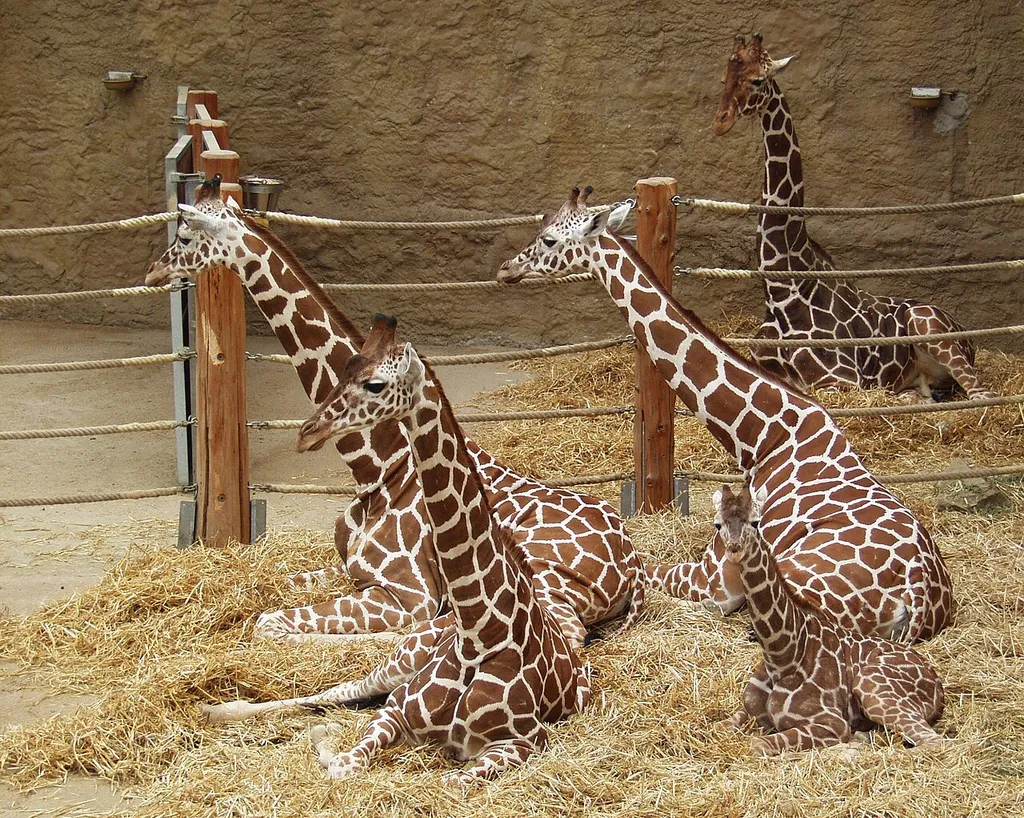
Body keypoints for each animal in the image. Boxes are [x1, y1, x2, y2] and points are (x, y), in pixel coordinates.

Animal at [145, 176, 645, 652]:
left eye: (185, 235)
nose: (153, 270)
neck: (378, 465)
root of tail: (633, 561)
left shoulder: (408, 593)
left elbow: (269, 623)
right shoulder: (344, 569)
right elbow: (268, 587)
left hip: (544, 576)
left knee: (560, 634)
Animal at [296, 315, 589, 782]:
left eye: (375, 384)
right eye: (344, 369)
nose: (307, 433)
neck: (478, 632)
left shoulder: (521, 742)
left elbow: (452, 783)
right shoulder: (396, 710)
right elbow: (345, 764)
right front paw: (328, 746)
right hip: (398, 662)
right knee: (335, 692)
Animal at [497, 187, 954, 643]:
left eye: (550, 240)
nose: (506, 269)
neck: (763, 439)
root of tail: (916, 600)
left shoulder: (713, 578)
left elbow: (649, 571)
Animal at [714, 33, 993, 402]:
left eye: (757, 80)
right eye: (723, 77)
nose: (720, 121)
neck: (782, 289)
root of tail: (968, 335)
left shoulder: (842, 379)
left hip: (928, 327)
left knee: (979, 394)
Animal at [714, 483, 945, 754]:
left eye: (755, 522)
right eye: (718, 524)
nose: (734, 550)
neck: (781, 655)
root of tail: (937, 684)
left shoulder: (831, 723)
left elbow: (757, 744)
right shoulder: (747, 712)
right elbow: (720, 727)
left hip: (873, 688)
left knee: (934, 741)